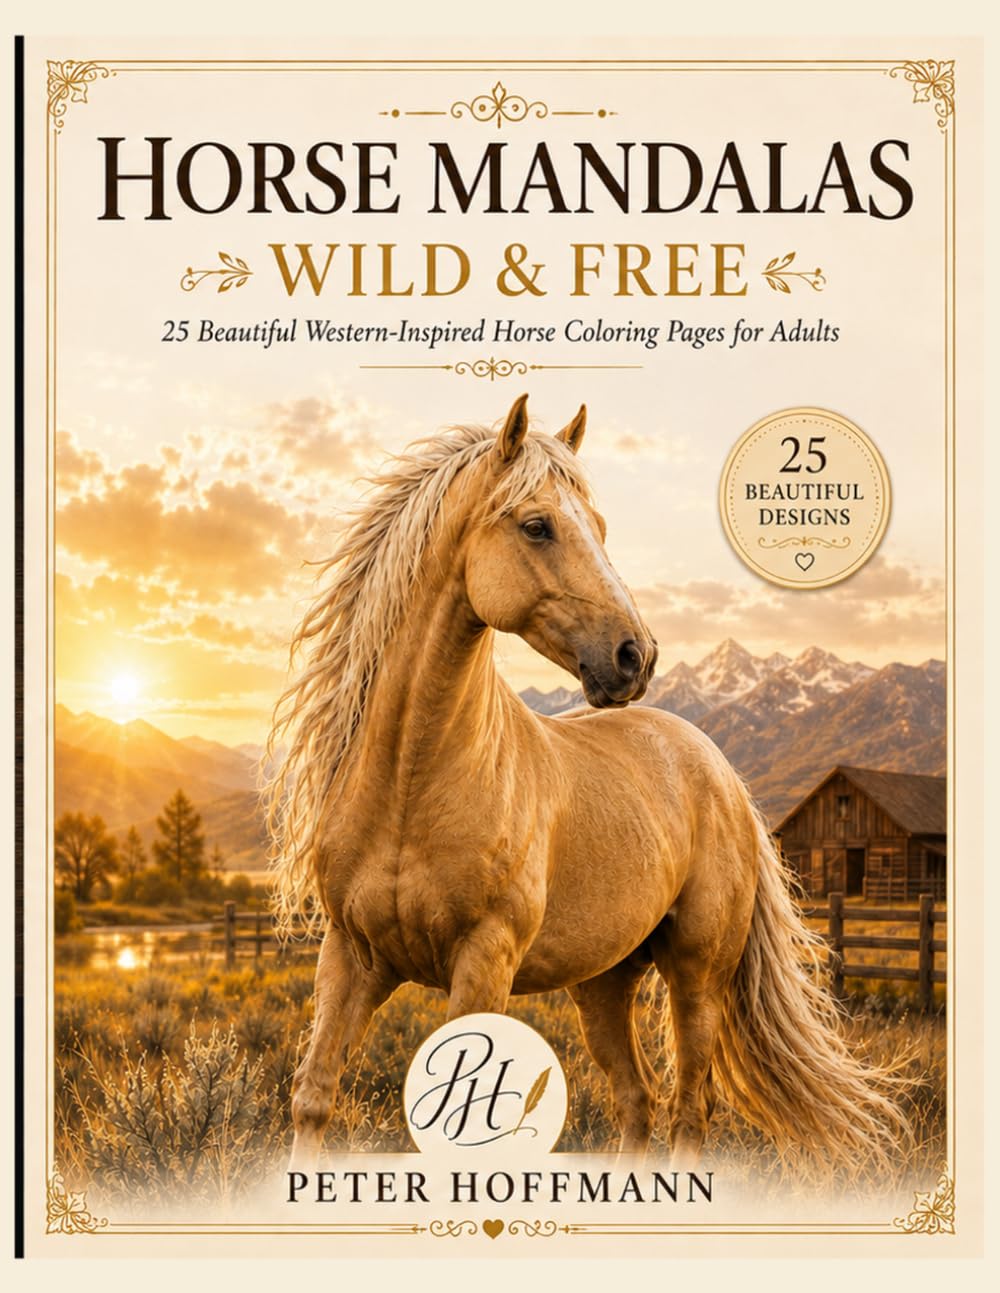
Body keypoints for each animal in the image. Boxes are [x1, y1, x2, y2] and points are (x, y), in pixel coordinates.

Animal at [267, 393, 907, 1178]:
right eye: (537, 525)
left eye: (598, 527)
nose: (636, 655)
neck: (412, 783)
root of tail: (720, 772)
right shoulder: (351, 957)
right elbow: (313, 1095)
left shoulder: (483, 964)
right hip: (602, 984)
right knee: (639, 1101)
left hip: (697, 975)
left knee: (689, 1108)